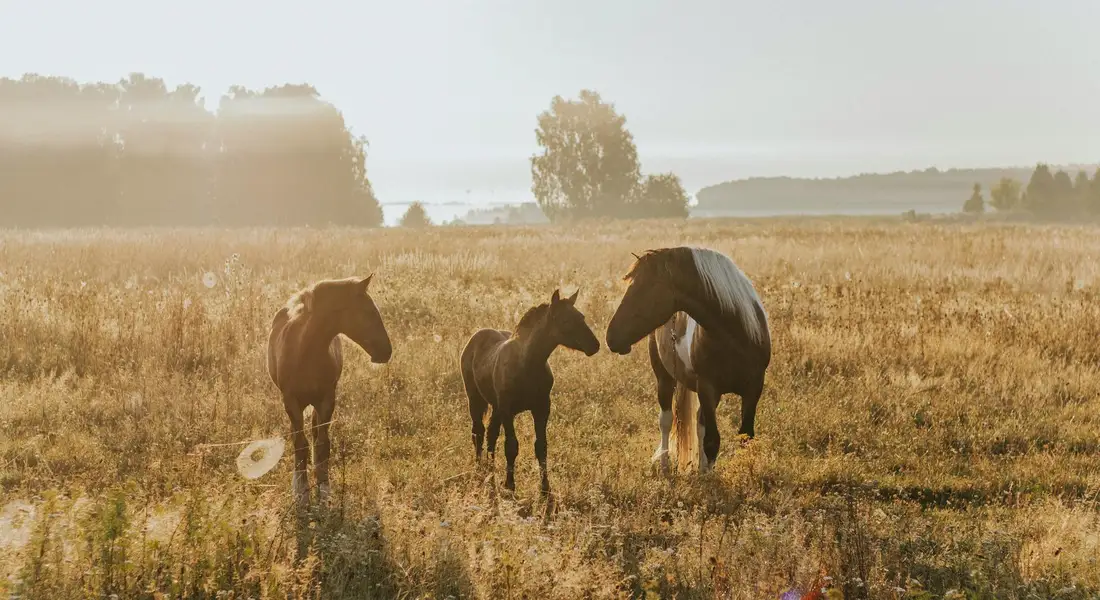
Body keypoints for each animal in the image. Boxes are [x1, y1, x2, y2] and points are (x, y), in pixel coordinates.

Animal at [267, 275, 393, 506]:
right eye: (368, 312)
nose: (386, 351)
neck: (305, 350)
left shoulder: (326, 400)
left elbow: (323, 443)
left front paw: (324, 490)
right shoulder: (291, 401)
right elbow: (300, 443)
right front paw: (301, 492)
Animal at [460, 289, 600, 494]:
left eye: (581, 316)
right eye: (565, 320)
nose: (594, 345)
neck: (527, 363)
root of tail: (476, 336)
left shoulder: (541, 408)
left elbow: (541, 446)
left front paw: (545, 488)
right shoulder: (508, 410)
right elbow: (511, 446)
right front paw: (510, 485)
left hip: (496, 406)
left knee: (491, 434)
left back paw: (490, 470)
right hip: (475, 398)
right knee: (478, 432)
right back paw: (480, 468)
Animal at [605, 247, 771, 473]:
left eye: (644, 288)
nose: (610, 337)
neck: (735, 335)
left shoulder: (753, 388)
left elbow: (745, 437)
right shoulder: (707, 387)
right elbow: (712, 440)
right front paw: (708, 478)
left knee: (699, 423)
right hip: (665, 379)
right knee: (666, 421)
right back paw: (665, 465)